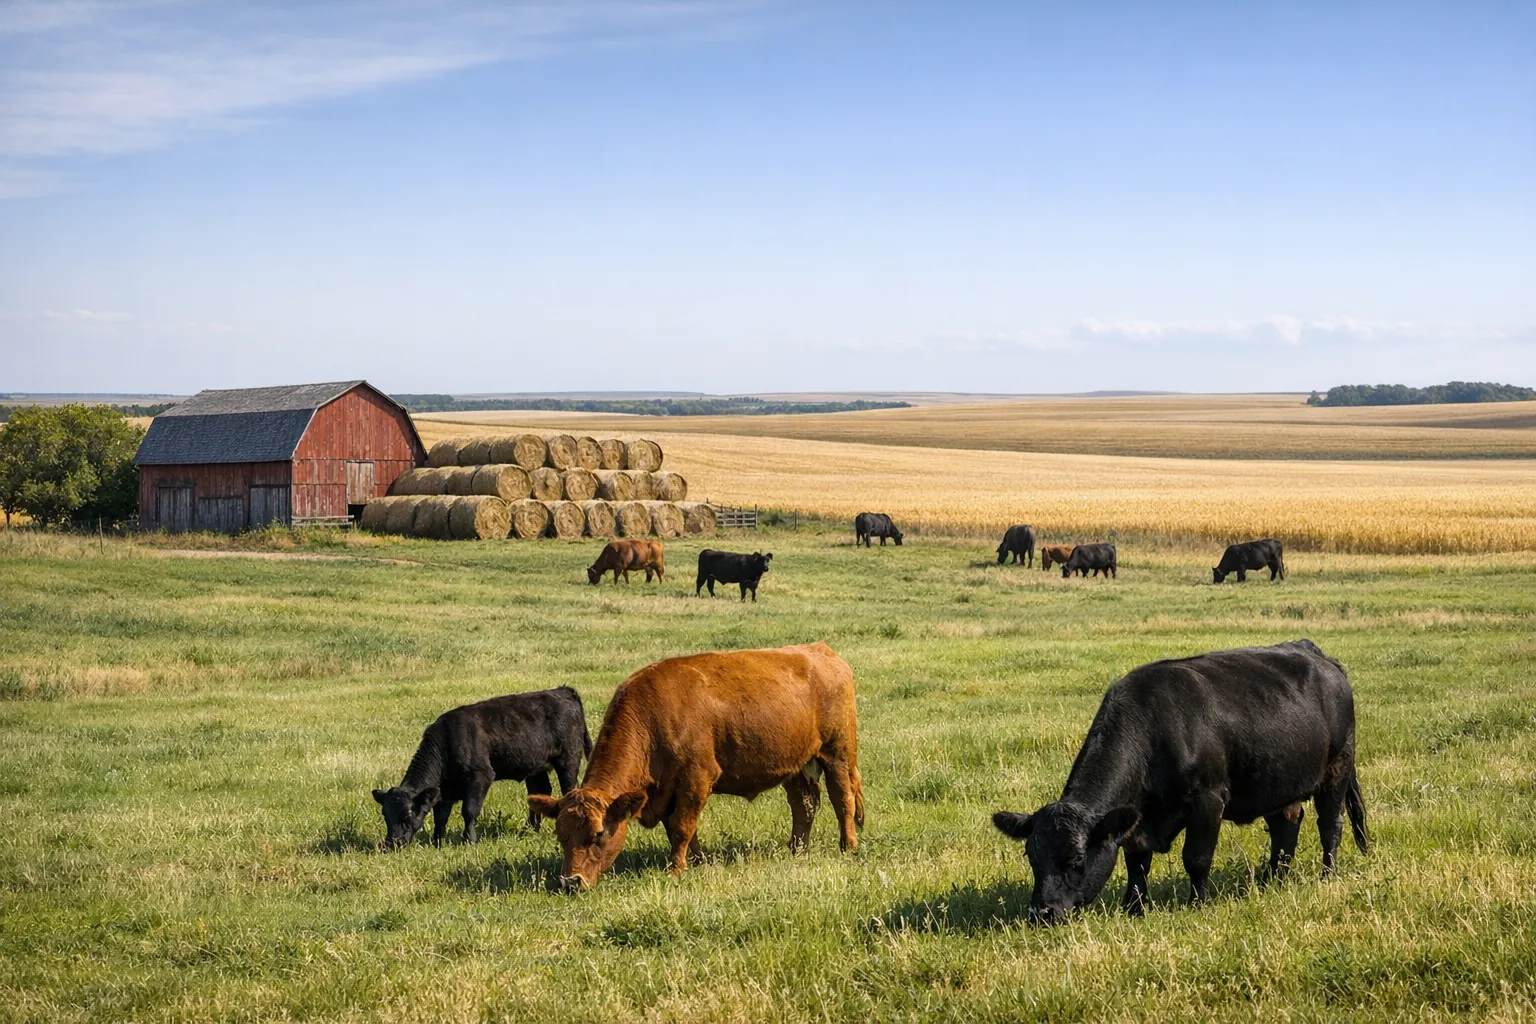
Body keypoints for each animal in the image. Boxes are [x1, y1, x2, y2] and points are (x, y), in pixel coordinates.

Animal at [373, 687, 591, 849]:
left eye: (407, 815)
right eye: (385, 815)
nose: (392, 844)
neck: (448, 741)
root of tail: (563, 690)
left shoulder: (481, 776)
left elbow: (469, 811)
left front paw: (469, 840)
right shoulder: (445, 791)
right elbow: (440, 816)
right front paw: (437, 842)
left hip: (568, 759)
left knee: (569, 790)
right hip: (536, 767)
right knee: (540, 792)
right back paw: (529, 830)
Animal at [528, 642, 864, 890]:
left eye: (598, 834)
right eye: (560, 835)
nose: (570, 882)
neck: (653, 716)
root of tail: (822, 650)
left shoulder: (696, 778)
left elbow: (682, 826)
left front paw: (676, 869)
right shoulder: (665, 791)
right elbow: (679, 829)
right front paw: (698, 861)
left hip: (837, 753)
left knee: (842, 799)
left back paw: (848, 846)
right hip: (796, 765)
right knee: (804, 805)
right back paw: (796, 849)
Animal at [992, 640, 1367, 923]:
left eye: (1077, 860)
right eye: (1031, 857)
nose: (1042, 912)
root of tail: (1315, 653)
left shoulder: (1208, 800)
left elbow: (1196, 857)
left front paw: (1197, 903)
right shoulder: (1137, 820)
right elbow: (1136, 864)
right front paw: (1134, 907)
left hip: (1338, 767)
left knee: (1330, 824)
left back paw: (1326, 876)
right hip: (1279, 781)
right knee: (1286, 825)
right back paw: (1271, 879)